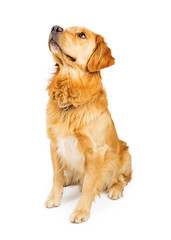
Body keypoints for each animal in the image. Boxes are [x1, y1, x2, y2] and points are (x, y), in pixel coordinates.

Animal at [45, 25, 132, 223]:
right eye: (63, 28)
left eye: (82, 35)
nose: (55, 28)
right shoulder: (54, 144)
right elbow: (56, 176)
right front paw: (55, 197)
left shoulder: (95, 152)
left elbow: (89, 184)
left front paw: (81, 211)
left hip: (125, 155)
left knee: (123, 179)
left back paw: (115, 189)